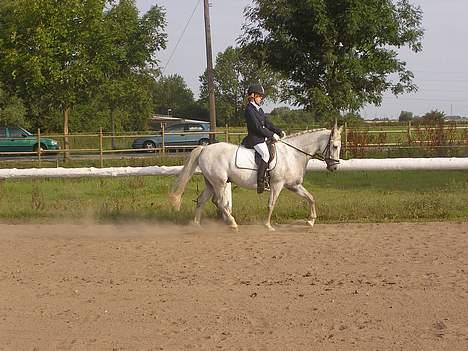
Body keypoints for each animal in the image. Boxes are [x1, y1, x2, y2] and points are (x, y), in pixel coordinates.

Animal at [170, 124, 342, 231]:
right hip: (219, 182)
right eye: (334, 146)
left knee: (201, 200)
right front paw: (268, 225)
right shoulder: (277, 184)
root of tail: (205, 149)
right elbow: (271, 204)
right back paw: (232, 223)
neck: (292, 153)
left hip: (211, 183)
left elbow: (311, 198)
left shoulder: (293, 185)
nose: (334, 167)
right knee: (220, 202)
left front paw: (310, 221)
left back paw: (197, 225)